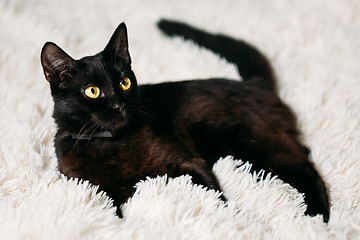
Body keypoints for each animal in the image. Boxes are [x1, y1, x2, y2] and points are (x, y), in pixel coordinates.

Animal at [40, 19, 330, 222]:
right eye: (92, 91)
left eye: (124, 83)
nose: (119, 105)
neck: (113, 143)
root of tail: (255, 84)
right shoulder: (99, 191)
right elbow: (113, 211)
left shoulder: (189, 162)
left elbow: (216, 195)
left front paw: (238, 220)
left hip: (258, 143)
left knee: (308, 172)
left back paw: (315, 219)